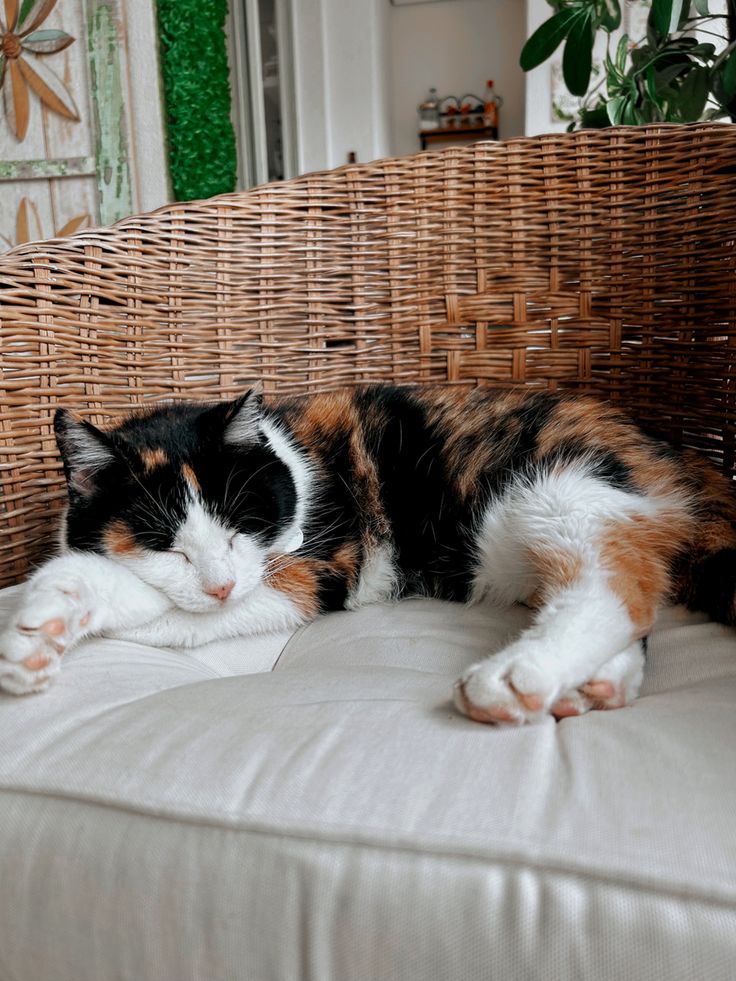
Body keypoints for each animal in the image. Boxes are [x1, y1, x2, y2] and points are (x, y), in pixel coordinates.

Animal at [1, 386, 736, 724]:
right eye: (165, 544)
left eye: (241, 527)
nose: (220, 585)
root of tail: (679, 456)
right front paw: (45, 623)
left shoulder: (315, 568)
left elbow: (166, 610)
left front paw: (37, 621)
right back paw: (598, 683)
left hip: (559, 489)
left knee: (613, 583)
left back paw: (517, 676)